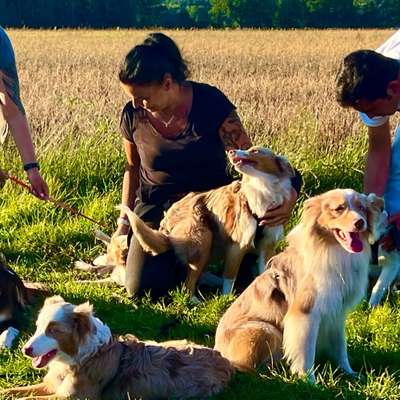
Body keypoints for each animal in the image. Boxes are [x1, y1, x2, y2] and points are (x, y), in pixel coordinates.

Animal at [0, 296, 233, 398]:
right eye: (38, 327)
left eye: (53, 330)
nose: (25, 350)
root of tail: (225, 361)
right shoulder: (53, 386)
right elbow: (16, 391)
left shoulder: (75, 397)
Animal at [119, 145, 294, 296]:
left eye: (255, 151)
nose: (230, 151)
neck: (262, 189)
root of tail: (166, 222)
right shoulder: (238, 246)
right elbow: (229, 279)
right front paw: (226, 300)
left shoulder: (267, 245)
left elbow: (265, 272)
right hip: (202, 236)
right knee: (188, 284)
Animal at [214, 189, 386, 382]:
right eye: (339, 209)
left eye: (361, 208)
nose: (360, 222)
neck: (333, 251)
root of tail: (217, 351)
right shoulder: (305, 313)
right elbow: (306, 352)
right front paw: (309, 381)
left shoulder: (337, 313)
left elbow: (341, 348)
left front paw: (350, 373)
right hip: (266, 330)